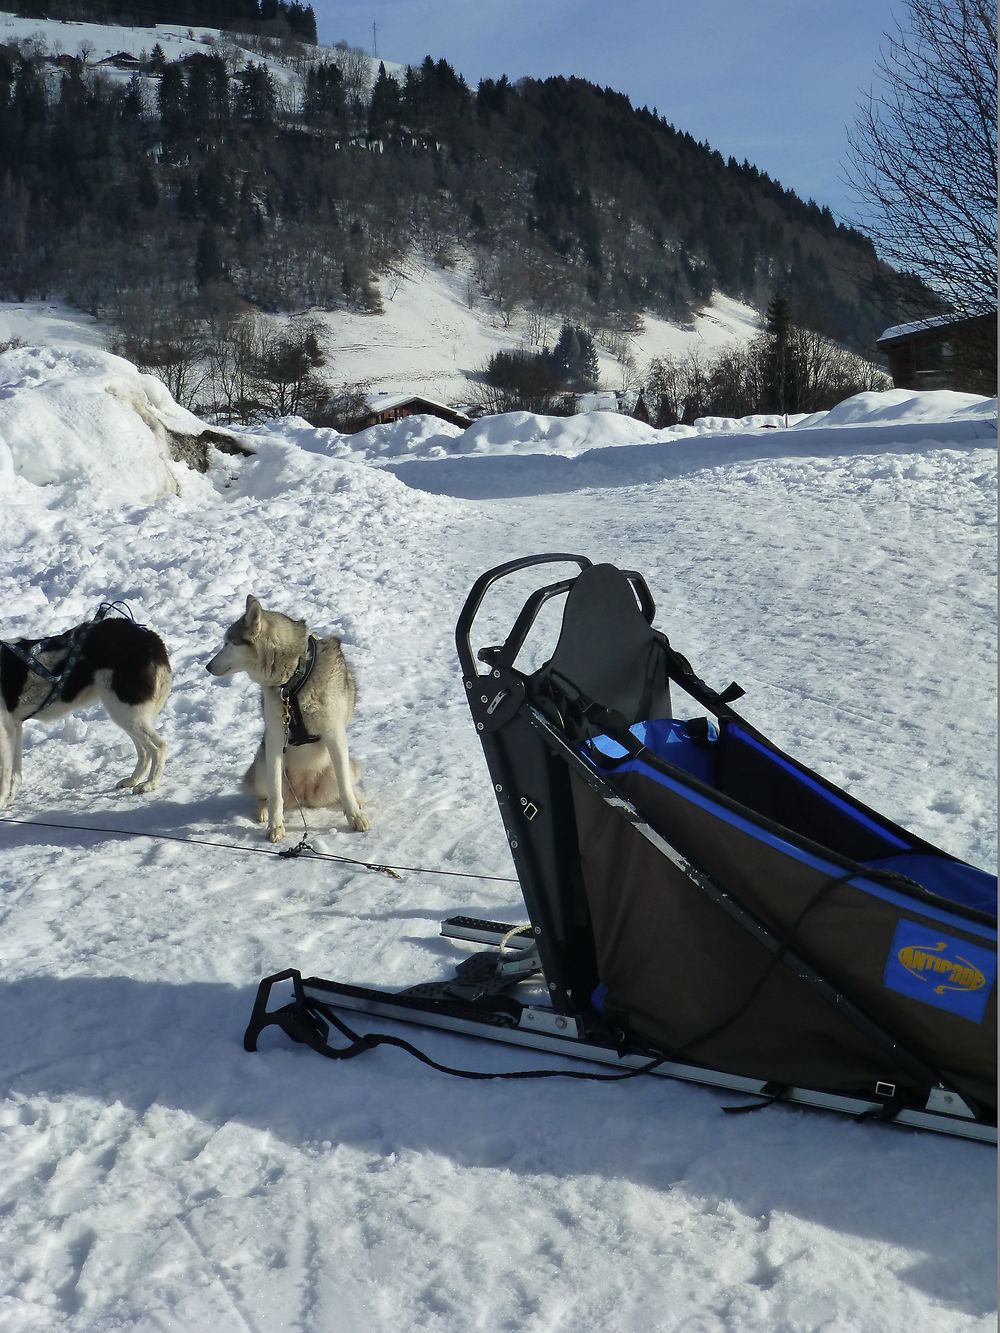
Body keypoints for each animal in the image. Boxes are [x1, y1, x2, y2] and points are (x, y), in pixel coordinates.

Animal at [0, 610, 172, 805]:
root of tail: (150, 638)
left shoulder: (4, 728)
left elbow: (5, 775)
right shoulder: (14, 725)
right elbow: (14, 774)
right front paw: (8, 800)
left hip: (126, 710)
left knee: (159, 747)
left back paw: (150, 784)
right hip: (125, 713)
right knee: (144, 751)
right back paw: (132, 780)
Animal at [208, 597, 373, 842]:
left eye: (228, 643)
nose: (207, 666)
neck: (294, 678)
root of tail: (303, 796)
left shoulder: (334, 733)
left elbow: (345, 787)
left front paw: (355, 817)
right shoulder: (276, 736)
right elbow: (275, 793)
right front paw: (275, 826)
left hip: (341, 771)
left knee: (343, 788)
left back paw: (358, 798)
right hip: (262, 767)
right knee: (267, 795)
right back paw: (264, 810)